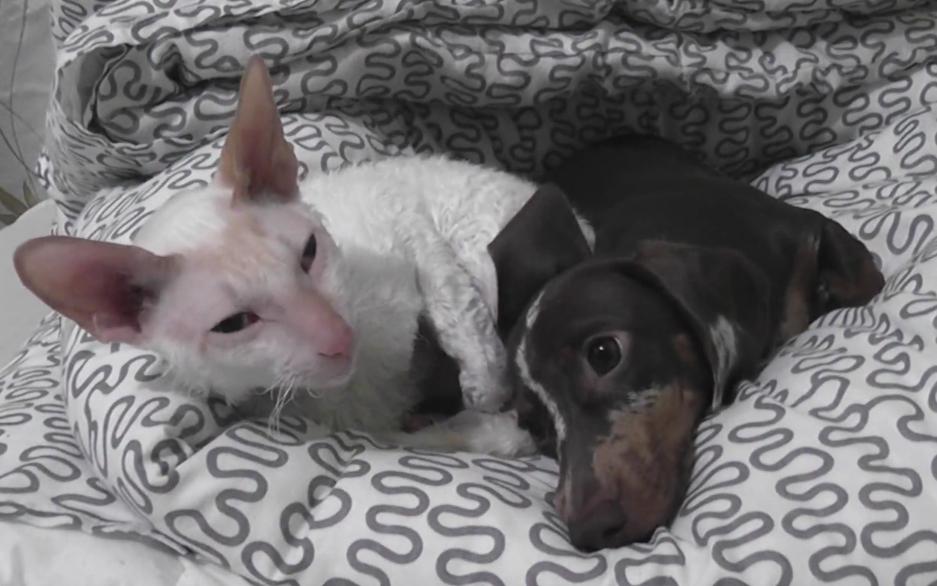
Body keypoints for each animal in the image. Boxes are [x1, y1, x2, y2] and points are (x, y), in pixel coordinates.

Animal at [12, 56, 548, 456]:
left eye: (309, 253)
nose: (339, 336)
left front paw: (487, 389)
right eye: (233, 324)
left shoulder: (398, 210)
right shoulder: (358, 428)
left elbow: (456, 308)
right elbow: (415, 440)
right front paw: (493, 430)